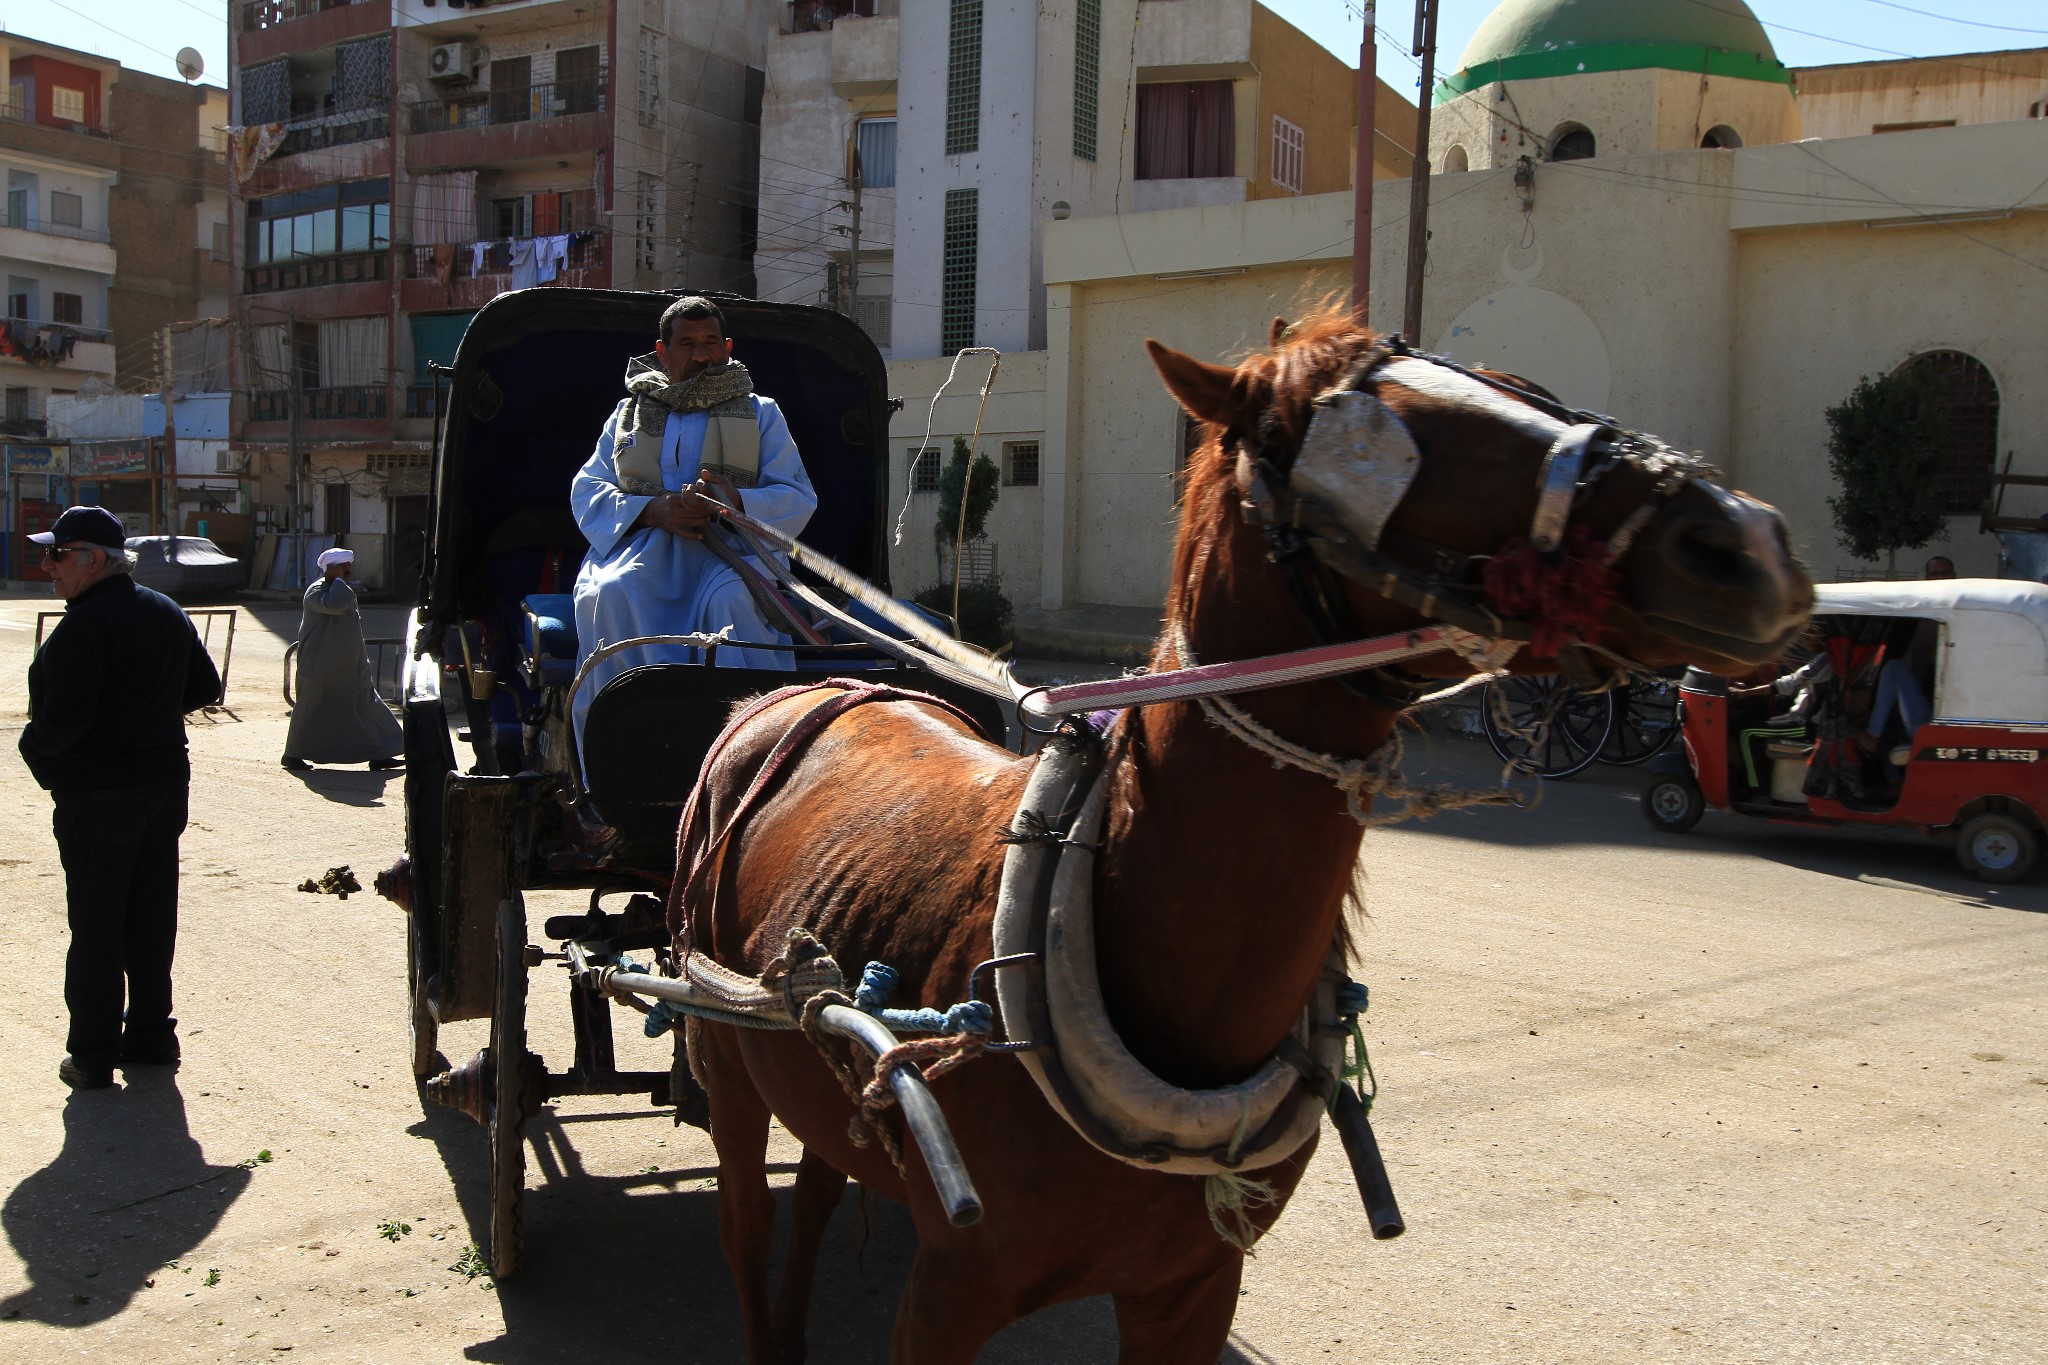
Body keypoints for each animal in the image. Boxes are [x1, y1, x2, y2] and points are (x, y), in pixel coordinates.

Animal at [684, 313, 1810, 1365]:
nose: (1745, 542)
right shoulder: (952, 1287)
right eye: (1352, 433)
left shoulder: (1192, 1287)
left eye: (1524, 385)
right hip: (725, 1059)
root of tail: (805, 686)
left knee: (817, 1190)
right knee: (746, 1232)